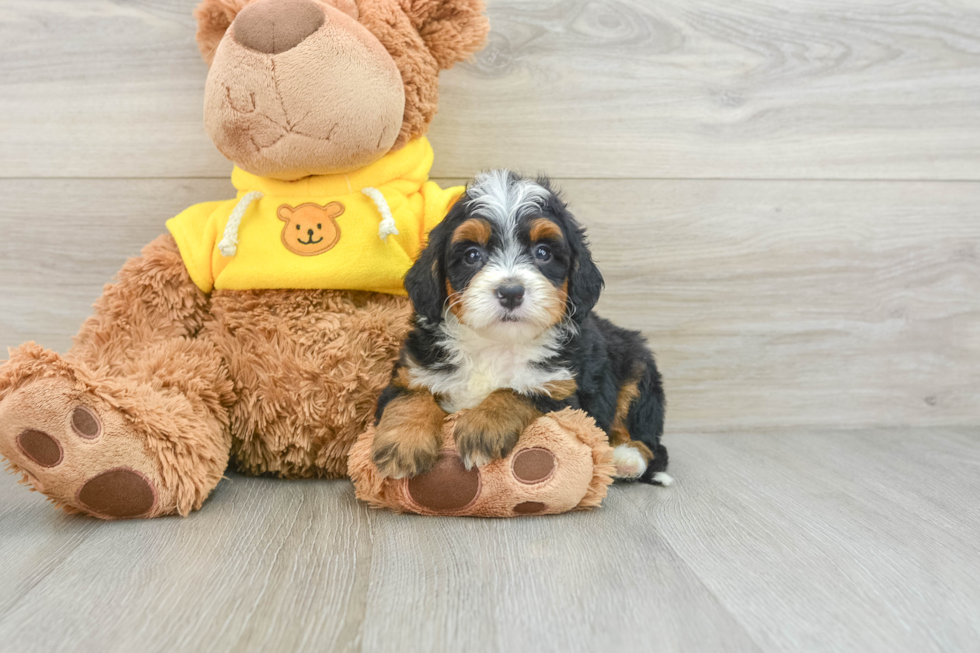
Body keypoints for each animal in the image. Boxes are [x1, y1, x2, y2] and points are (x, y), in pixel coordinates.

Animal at [372, 171, 668, 486]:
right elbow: (410, 396)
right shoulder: (412, 370)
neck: (496, 344)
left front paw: (485, 424)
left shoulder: (563, 393)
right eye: (472, 255)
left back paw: (626, 459)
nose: (511, 292)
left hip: (638, 367)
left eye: (543, 252)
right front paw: (403, 442)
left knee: (648, 438)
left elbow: (519, 392)